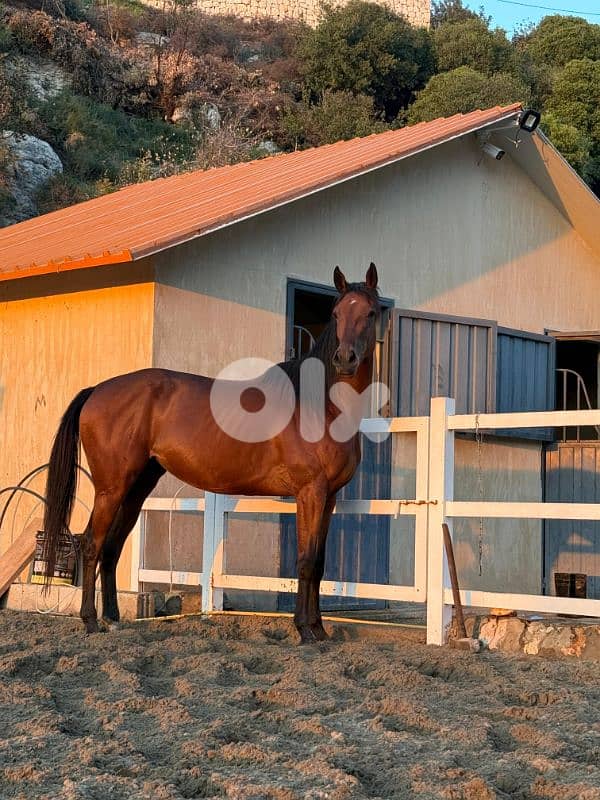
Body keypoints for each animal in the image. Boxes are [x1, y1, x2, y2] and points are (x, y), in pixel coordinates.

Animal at [42, 264, 381, 643]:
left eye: (370, 312)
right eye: (336, 314)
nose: (345, 359)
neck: (321, 405)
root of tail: (98, 389)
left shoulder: (329, 496)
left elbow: (319, 563)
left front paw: (319, 631)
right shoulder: (310, 493)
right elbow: (306, 561)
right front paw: (305, 630)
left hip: (136, 487)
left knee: (112, 546)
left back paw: (113, 619)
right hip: (111, 487)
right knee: (92, 543)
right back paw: (89, 620)